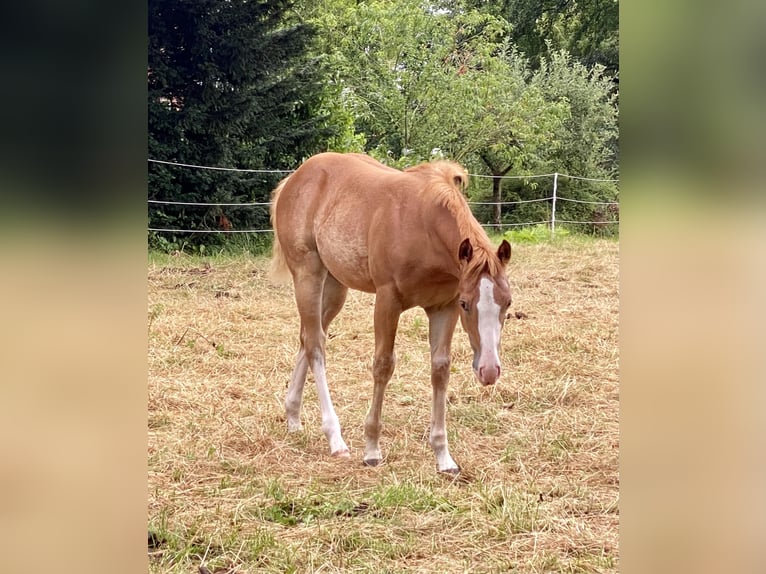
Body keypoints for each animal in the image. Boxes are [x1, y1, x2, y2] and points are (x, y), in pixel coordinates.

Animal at [270, 153, 516, 476]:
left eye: (508, 303)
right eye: (466, 304)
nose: (489, 371)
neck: (423, 227)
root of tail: (295, 178)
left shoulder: (442, 307)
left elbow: (440, 369)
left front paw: (443, 457)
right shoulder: (388, 301)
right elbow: (383, 365)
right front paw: (372, 449)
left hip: (336, 285)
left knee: (308, 337)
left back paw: (293, 417)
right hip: (307, 273)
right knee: (315, 344)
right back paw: (336, 439)